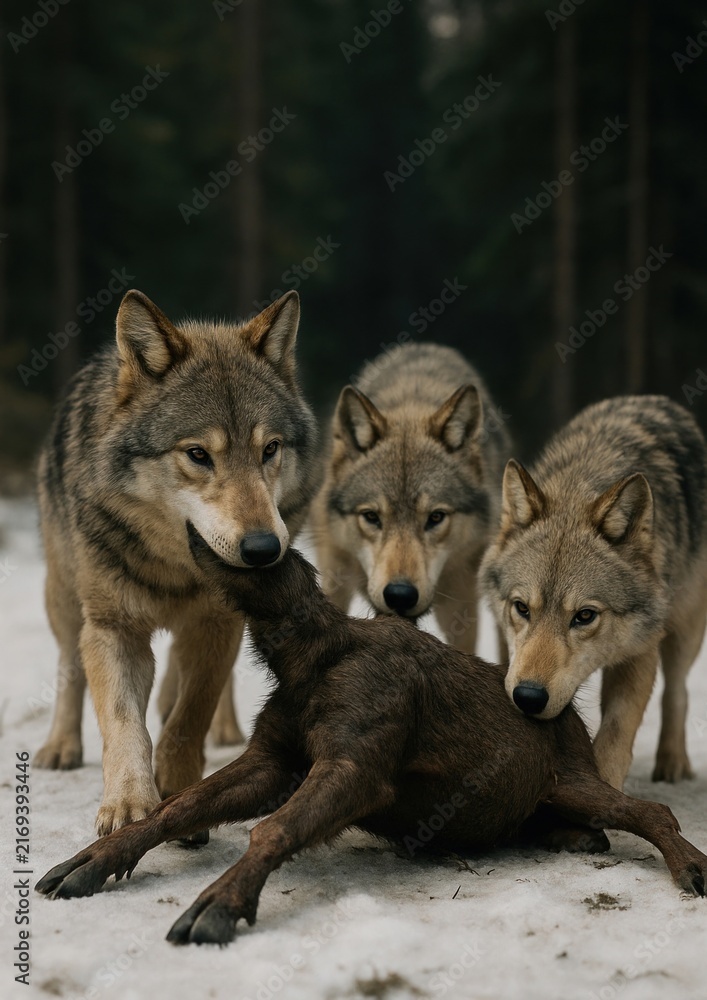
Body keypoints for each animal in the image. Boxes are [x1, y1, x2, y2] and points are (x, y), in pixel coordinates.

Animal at [34, 288, 319, 835]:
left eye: (270, 448)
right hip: (62, 594)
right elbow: (124, 723)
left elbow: (191, 714)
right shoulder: (112, 628)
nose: (263, 550)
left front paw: (181, 792)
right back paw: (60, 745)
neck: (175, 573)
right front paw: (127, 804)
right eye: (198, 454)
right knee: (68, 664)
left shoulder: (215, 622)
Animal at [311, 343, 510, 654]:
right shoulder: (335, 574)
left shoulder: (461, 605)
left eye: (436, 517)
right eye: (371, 517)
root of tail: (426, 346)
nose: (400, 595)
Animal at [481, 395, 707, 790]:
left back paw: (672, 763)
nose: (528, 697)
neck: (581, 483)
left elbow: (616, 734)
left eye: (584, 616)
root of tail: (652, 399)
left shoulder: (641, 650)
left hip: (685, 629)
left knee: (676, 690)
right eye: (522, 608)